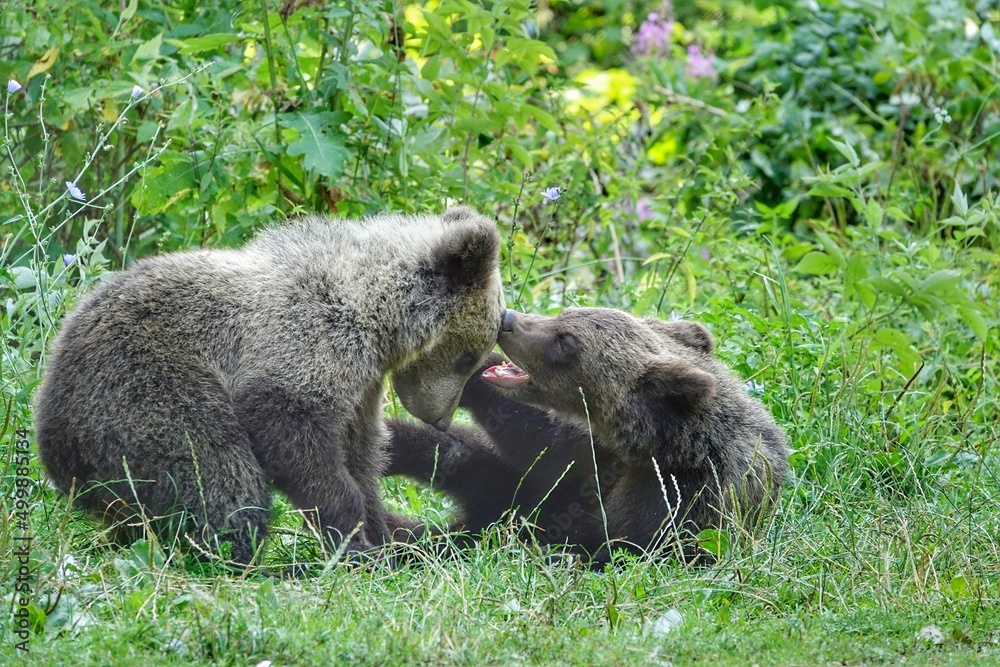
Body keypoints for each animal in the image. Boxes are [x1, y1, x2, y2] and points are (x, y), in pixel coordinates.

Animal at [34, 206, 505, 566]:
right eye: (469, 356)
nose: (441, 419)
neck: (374, 316)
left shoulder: (361, 387)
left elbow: (362, 454)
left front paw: (380, 533)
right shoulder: (301, 343)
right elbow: (291, 435)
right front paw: (354, 539)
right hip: (145, 388)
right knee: (216, 472)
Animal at [387, 307, 788, 565]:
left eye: (566, 341)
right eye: (565, 312)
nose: (509, 320)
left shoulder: (680, 502)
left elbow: (609, 543)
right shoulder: (592, 453)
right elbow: (541, 444)